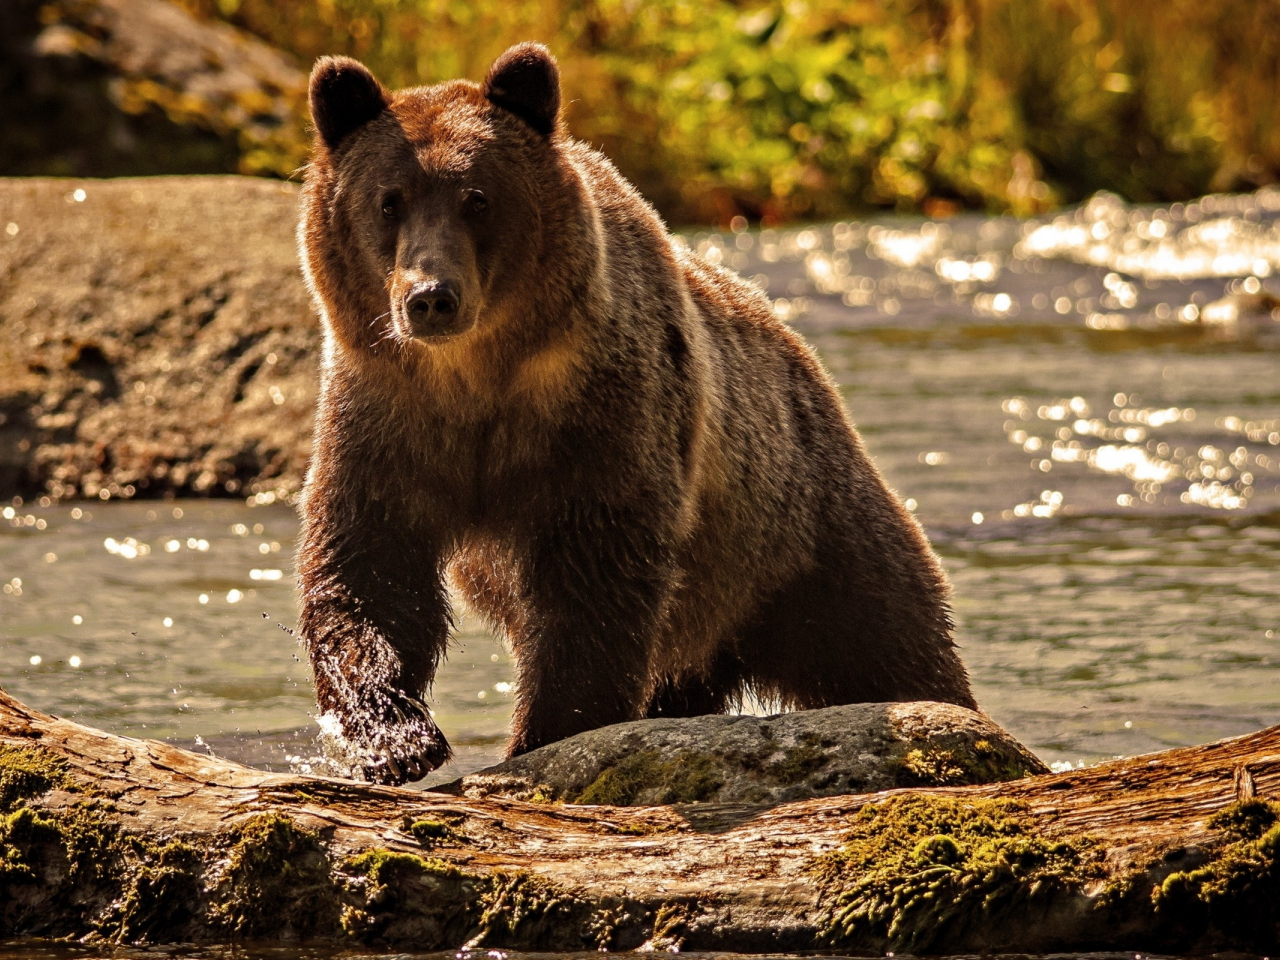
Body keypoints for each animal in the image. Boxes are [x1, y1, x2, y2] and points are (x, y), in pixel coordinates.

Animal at [293, 41, 967, 783]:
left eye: (477, 198)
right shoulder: (386, 416)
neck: (475, 378)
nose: (431, 296)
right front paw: (395, 736)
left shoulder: (602, 416)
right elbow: (370, 567)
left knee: (885, 637)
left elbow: (594, 581)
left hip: (800, 531)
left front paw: (545, 733)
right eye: (389, 201)